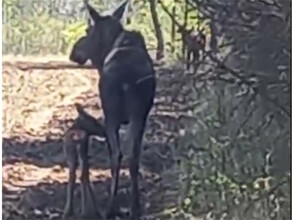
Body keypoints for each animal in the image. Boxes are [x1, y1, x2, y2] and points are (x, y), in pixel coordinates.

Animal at [68, 0, 156, 219]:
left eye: (88, 29)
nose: (73, 52)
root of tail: (125, 79)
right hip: (138, 115)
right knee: (132, 156)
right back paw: (134, 207)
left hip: (112, 117)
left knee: (117, 156)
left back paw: (111, 207)